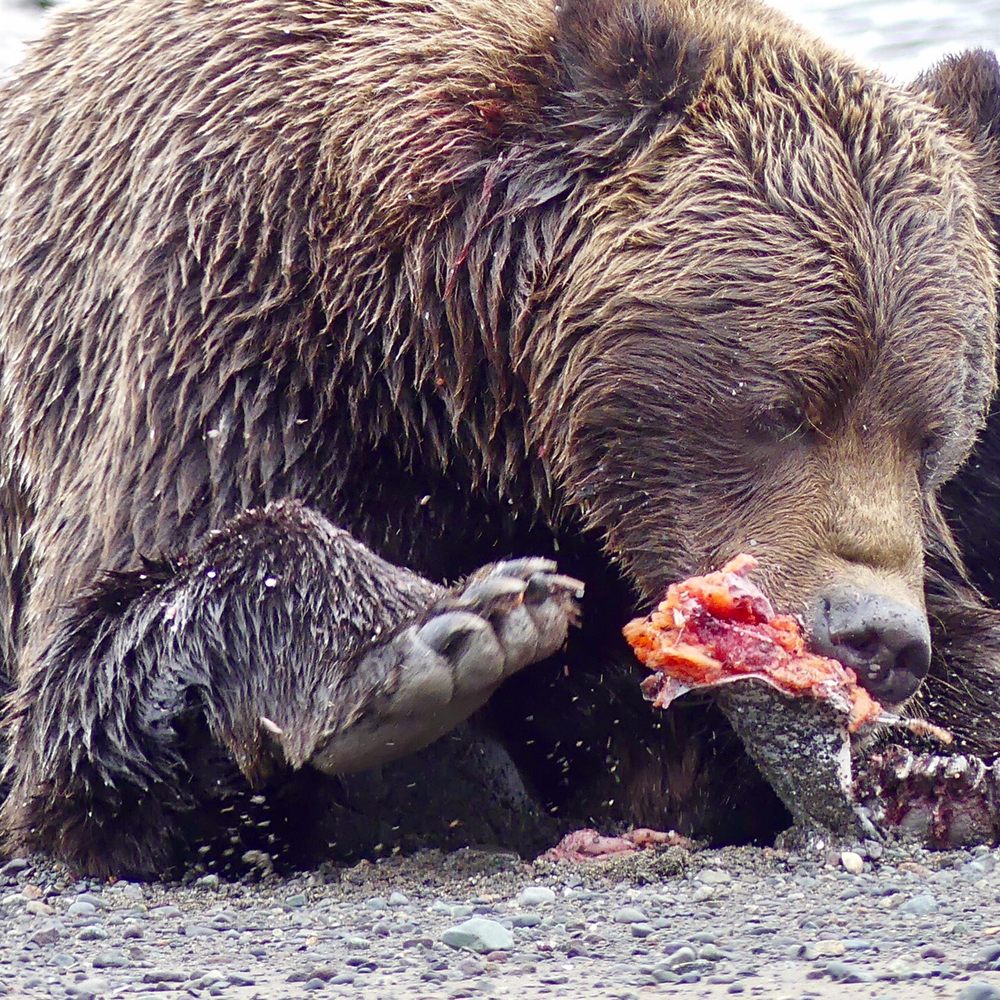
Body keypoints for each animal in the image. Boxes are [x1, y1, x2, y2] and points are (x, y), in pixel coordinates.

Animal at [0, 0, 998, 877]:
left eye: (930, 436)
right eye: (786, 406)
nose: (876, 636)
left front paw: (930, 769)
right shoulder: (224, 331)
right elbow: (95, 683)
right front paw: (450, 637)